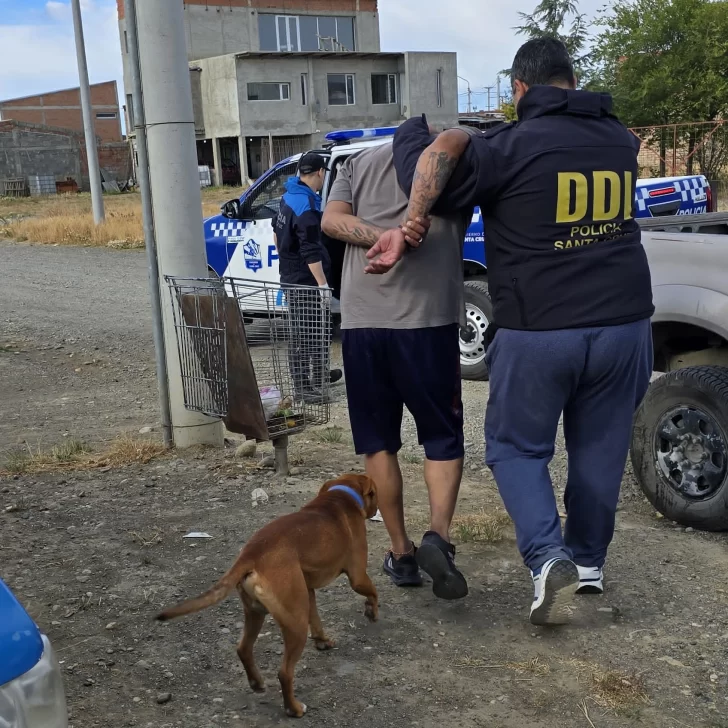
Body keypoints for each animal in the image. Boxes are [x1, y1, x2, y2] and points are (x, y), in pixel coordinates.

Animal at [156, 474, 378, 720]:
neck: (342, 494)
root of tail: (251, 555)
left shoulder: (308, 591)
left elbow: (317, 620)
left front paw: (322, 640)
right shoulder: (358, 576)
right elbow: (373, 591)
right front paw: (372, 610)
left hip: (256, 612)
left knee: (243, 648)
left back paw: (257, 683)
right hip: (295, 625)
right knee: (284, 673)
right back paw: (294, 708)